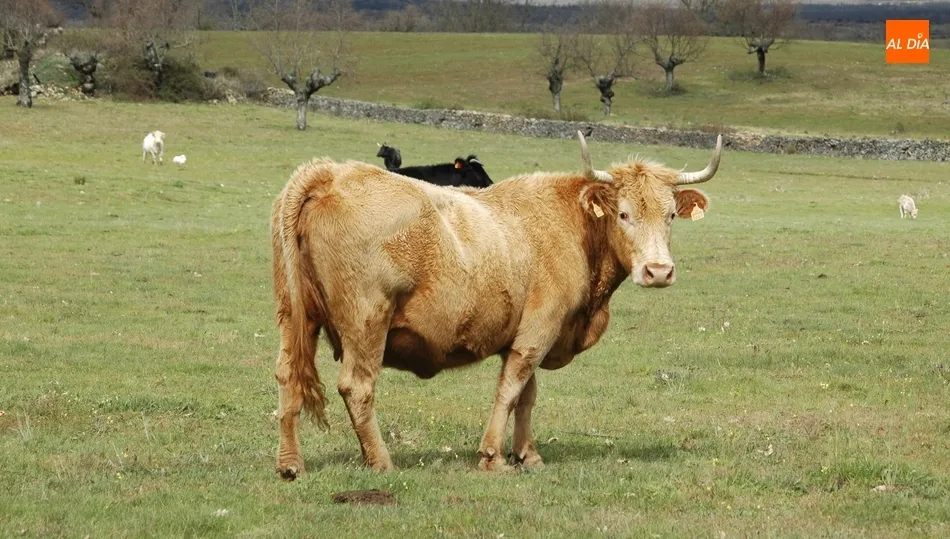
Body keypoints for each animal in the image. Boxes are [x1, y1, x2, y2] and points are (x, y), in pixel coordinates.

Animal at [270, 131, 723, 480]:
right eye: (624, 214)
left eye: (671, 215)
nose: (658, 271)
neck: (573, 225)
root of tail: (331, 173)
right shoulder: (540, 328)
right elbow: (511, 388)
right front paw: (493, 456)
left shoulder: (532, 331)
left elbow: (528, 395)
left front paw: (529, 454)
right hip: (366, 321)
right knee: (357, 387)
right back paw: (381, 462)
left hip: (295, 316)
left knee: (287, 376)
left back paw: (291, 465)